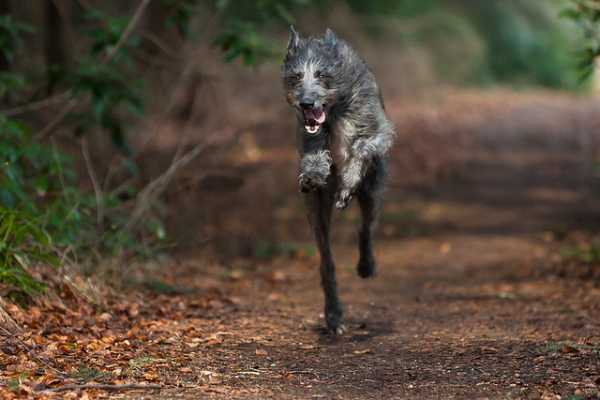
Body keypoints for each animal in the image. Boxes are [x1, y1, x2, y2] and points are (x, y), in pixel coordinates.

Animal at [282, 27, 396, 334]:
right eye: (296, 76)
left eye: (322, 74)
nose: (306, 103)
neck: (333, 110)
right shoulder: (308, 137)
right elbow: (314, 157)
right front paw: (313, 175)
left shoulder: (379, 131)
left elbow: (363, 146)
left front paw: (348, 182)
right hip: (316, 213)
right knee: (326, 259)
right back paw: (333, 314)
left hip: (373, 192)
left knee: (366, 227)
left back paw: (366, 265)